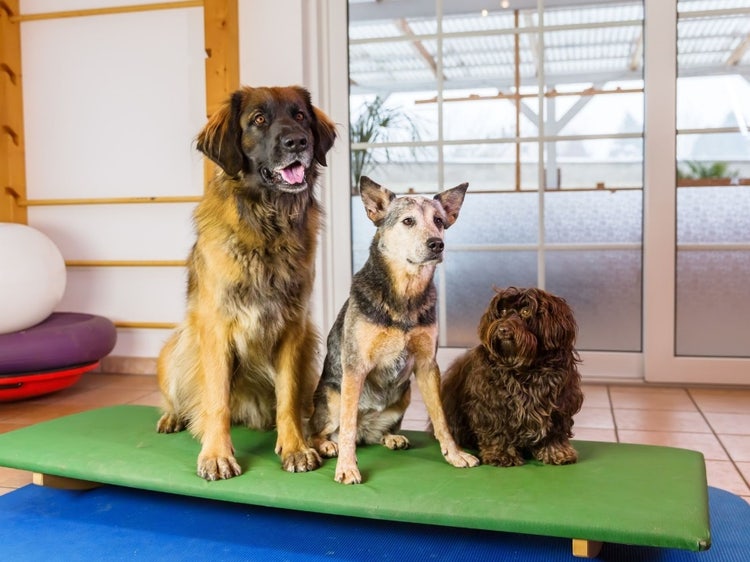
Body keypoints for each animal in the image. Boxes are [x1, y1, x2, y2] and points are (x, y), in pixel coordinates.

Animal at [157, 85, 336, 480]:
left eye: (300, 115)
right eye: (259, 119)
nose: (298, 141)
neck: (267, 227)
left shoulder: (293, 329)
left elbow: (288, 397)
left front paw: (296, 447)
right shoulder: (216, 329)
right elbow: (217, 401)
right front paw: (216, 454)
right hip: (178, 349)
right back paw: (173, 416)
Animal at [308, 175, 478, 482]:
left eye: (439, 220)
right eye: (408, 221)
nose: (437, 244)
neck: (404, 297)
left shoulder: (427, 365)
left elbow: (441, 419)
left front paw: (454, 454)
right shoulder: (355, 367)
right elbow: (347, 427)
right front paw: (347, 467)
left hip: (405, 394)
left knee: (374, 434)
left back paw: (391, 437)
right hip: (332, 396)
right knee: (320, 430)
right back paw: (327, 445)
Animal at [440, 284, 588, 464]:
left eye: (525, 311)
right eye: (502, 310)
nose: (503, 329)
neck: (525, 368)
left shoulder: (560, 403)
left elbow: (555, 432)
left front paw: (556, 451)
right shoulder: (492, 403)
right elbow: (497, 430)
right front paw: (501, 454)